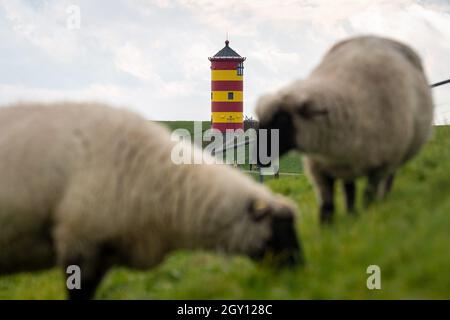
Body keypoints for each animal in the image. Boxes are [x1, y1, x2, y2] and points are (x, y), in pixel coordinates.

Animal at [256, 35, 436, 222]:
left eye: (282, 120)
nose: (259, 157)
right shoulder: (320, 170)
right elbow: (327, 205)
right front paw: (329, 226)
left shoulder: (379, 166)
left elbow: (368, 195)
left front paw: (370, 214)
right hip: (347, 165)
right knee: (349, 188)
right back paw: (351, 213)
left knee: (385, 180)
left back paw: (380, 200)